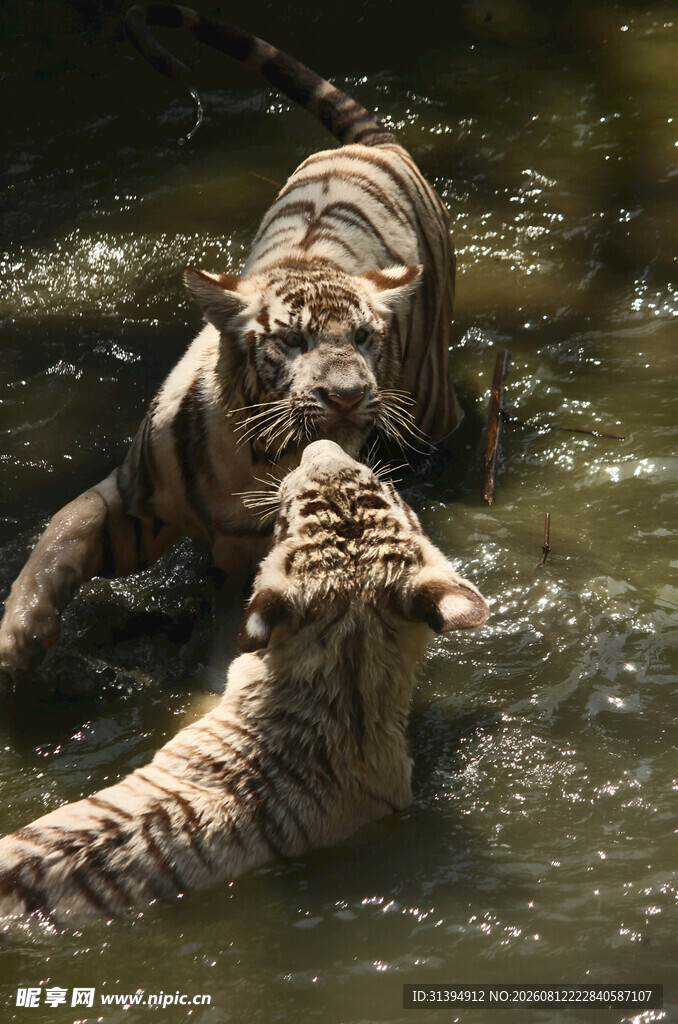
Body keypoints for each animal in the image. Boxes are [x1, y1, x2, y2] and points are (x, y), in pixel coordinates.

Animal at [0, 3, 462, 677]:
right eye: (292, 341)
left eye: (364, 337)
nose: (348, 396)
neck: (252, 456)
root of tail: (373, 145)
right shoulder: (132, 504)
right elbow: (64, 526)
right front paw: (22, 632)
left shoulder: (256, 559)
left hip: (430, 402)